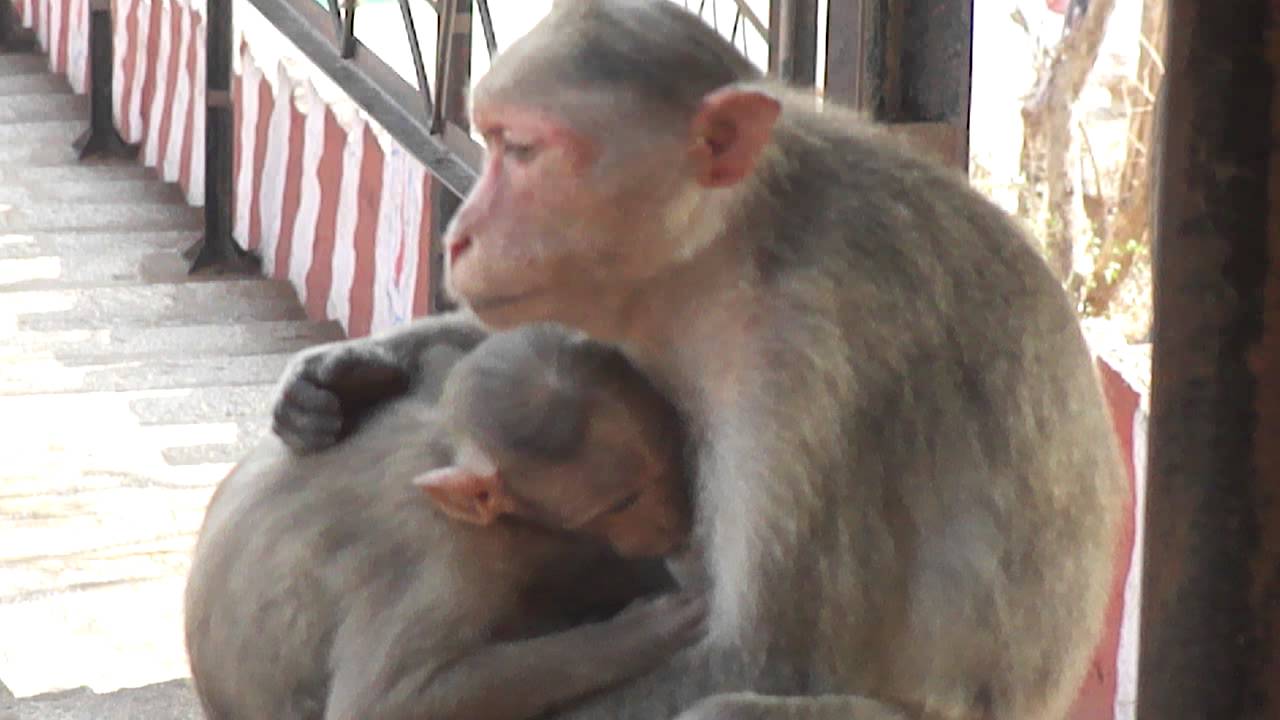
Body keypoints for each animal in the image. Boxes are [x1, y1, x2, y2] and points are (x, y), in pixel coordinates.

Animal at [184, 323, 706, 720]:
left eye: (668, 457)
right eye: (622, 503)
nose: (677, 517)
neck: (446, 446)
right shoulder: (446, 552)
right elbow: (383, 704)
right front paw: (642, 633)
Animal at [268, 1, 1127, 718]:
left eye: (522, 150)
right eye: (487, 140)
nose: (462, 236)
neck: (726, 251)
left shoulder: (809, 360)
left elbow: (761, 663)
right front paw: (341, 376)